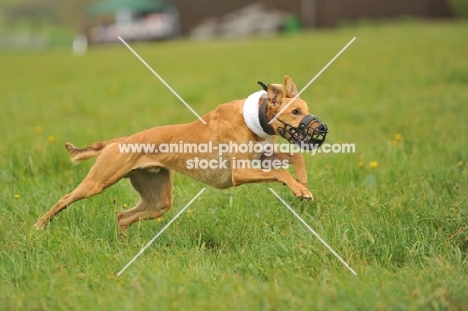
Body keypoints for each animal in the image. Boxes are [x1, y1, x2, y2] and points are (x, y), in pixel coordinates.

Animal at [34, 77, 328, 235]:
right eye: (295, 112)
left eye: (305, 109)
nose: (322, 128)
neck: (255, 118)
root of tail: (120, 141)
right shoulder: (241, 172)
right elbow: (280, 172)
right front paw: (300, 189)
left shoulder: (263, 158)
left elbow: (295, 159)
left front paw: (302, 184)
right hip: (98, 182)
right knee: (65, 198)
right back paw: (39, 225)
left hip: (158, 200)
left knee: (122, 216)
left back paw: (123, 243)